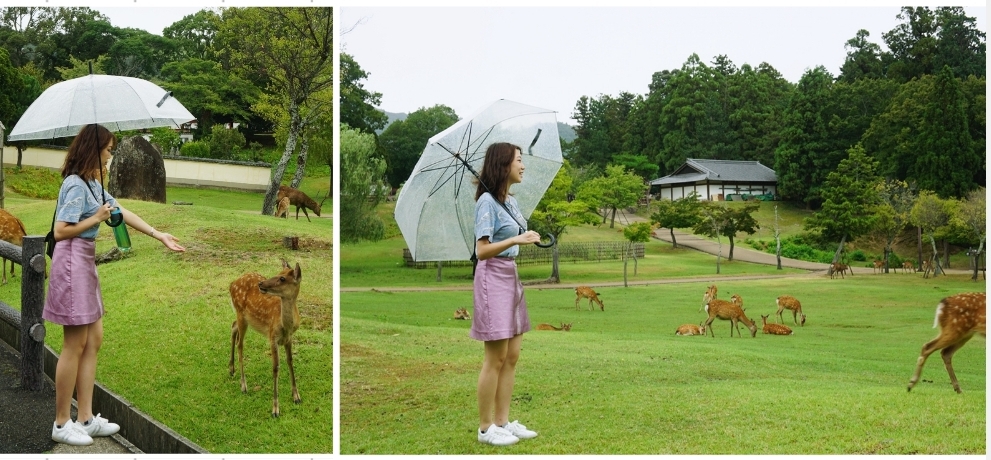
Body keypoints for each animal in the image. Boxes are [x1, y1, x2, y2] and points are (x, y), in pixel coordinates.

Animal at [232, 258, 304, 416]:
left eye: (282, 278)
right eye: (278, 273)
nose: (261, 284)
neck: (285, 326)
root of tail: (232, 283)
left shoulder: (289, 338)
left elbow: (290, 361)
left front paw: (296, 396)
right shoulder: (272, 337)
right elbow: (275, 367)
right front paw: (275, 409)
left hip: (242, 318)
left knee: (232, 326)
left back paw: (231, 369)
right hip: (241, 314)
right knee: (240, 344)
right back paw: (243, 385)